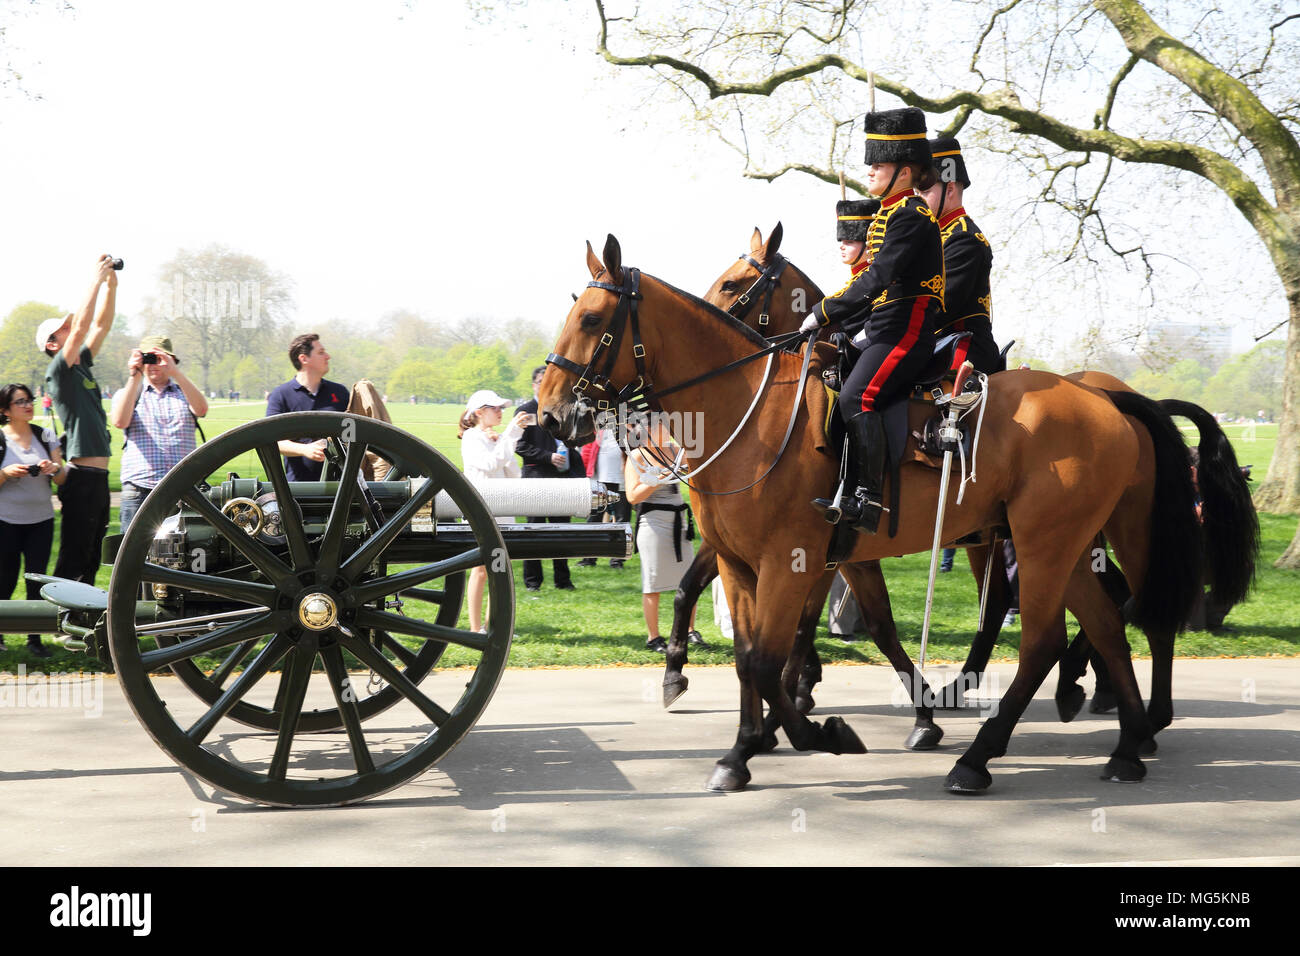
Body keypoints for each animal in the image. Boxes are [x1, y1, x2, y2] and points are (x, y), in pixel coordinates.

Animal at [538, 238, 1196, 790]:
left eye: (591, 319)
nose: (548, 413)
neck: (753, 415)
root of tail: (1103, 398)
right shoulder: (747, 563)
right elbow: (756, 652)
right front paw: (746, 746)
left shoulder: (793, 561)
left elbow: (771, 656)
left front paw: (815, 732)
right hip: (1067, 546)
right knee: (1105, 622)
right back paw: (1125, 745)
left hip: (1051, 544)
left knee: (1051, 637)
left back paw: (982, 756)